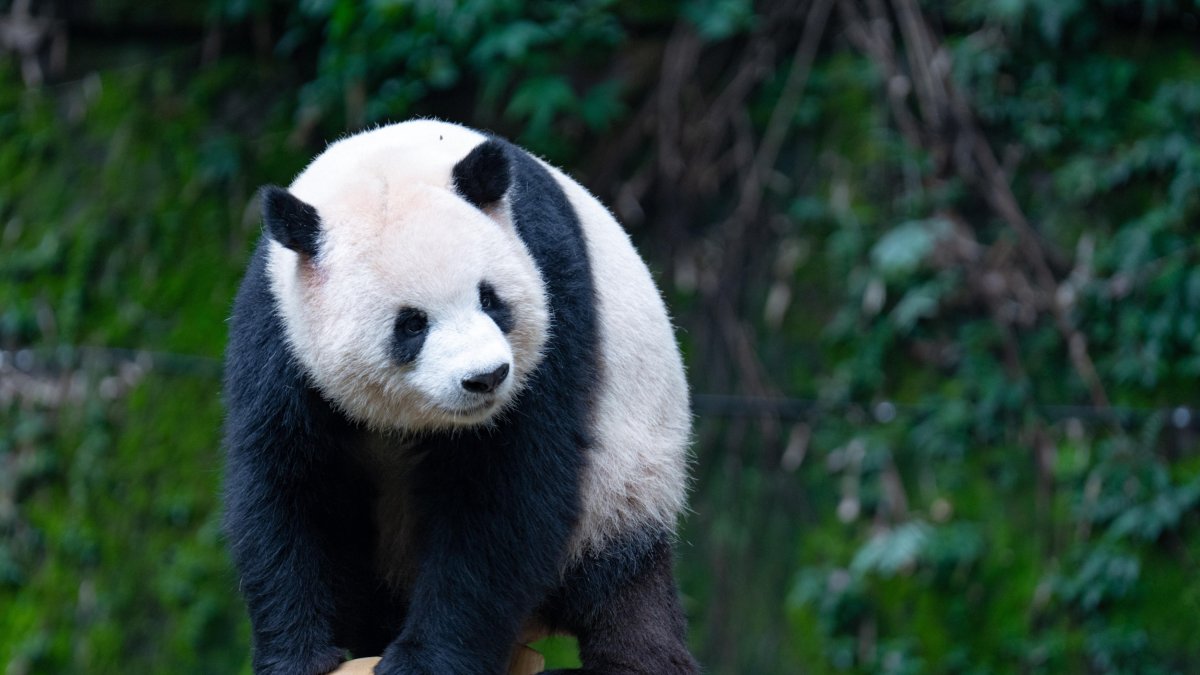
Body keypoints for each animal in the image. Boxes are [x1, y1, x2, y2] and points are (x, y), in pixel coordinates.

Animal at [222, 119, 698, 675]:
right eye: (411, 324)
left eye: (490, 299)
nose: (486, 378)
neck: (389, 160)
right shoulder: (278, 330)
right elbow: (289, 483)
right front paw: (298, 655)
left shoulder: (552, 288)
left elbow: (504, 496)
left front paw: (424, 661)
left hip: (625, 483)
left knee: (624, 592)